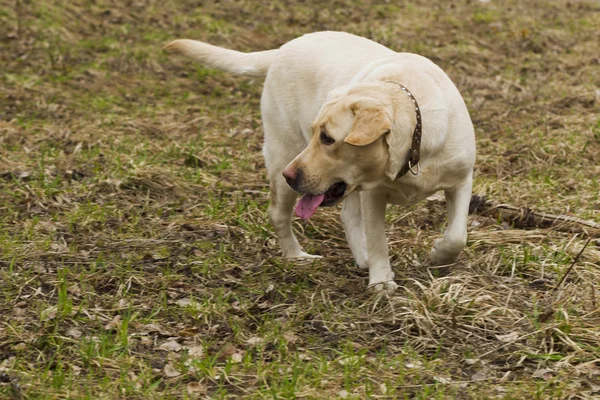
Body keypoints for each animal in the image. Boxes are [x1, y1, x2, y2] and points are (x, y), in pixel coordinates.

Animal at [166, 30, 476, 290]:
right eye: (316, 132)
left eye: (327, 137)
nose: (290, 175)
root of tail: (283, 48)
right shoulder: (373, 194)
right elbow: (378, 239)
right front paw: (381, 283)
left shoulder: (462, 179)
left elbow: (457, 236)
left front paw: (439, 256)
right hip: (283, 153)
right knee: (279, 213)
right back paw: (297, 256)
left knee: (347, 214)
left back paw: (360, 257)